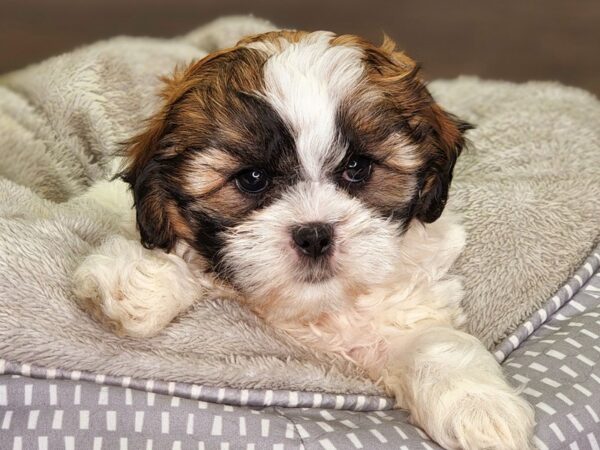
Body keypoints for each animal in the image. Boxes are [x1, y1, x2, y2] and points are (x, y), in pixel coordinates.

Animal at [71, 29, 536, 448]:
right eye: (252, 179)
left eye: (357, 167)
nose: (314, 235)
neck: (312, 311)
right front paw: (138, 283)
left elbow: (433, 342)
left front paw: (479, 407)